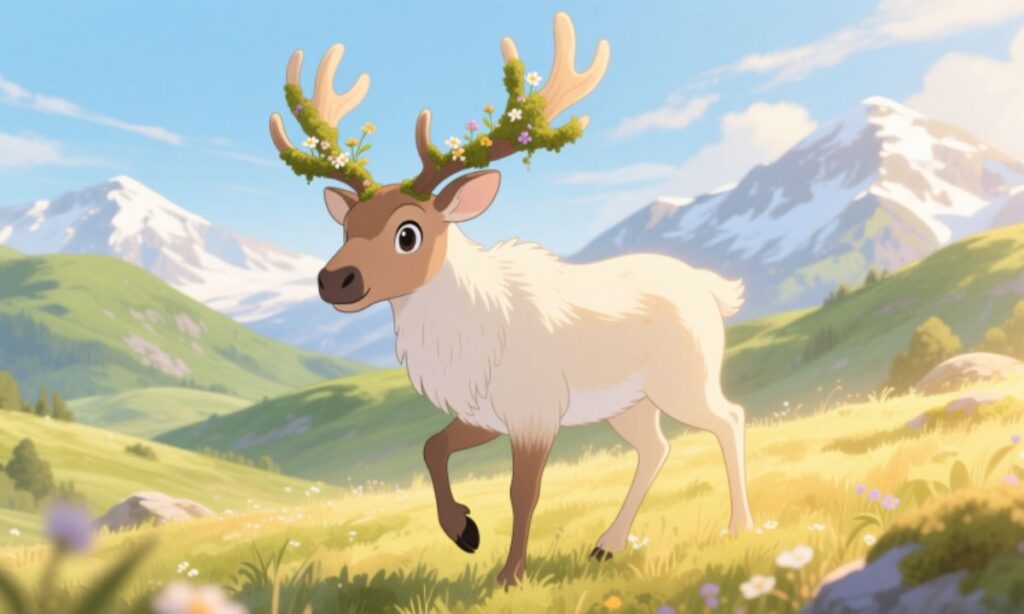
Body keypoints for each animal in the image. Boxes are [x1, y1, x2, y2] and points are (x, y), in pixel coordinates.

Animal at [269, 12, 754, 588]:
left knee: (730, 418)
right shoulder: (483, 413)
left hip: (685, 379)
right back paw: (607, 544)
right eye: (346, 226)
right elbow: (432, 448)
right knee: (657, 447)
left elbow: (523, 492)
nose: (334, 279)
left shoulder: (535, 410)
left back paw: (739, 527)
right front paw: (464, 530)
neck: (467, 341)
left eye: (408, 233)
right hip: (629, 403)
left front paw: (510, 575)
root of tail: (714, 289)